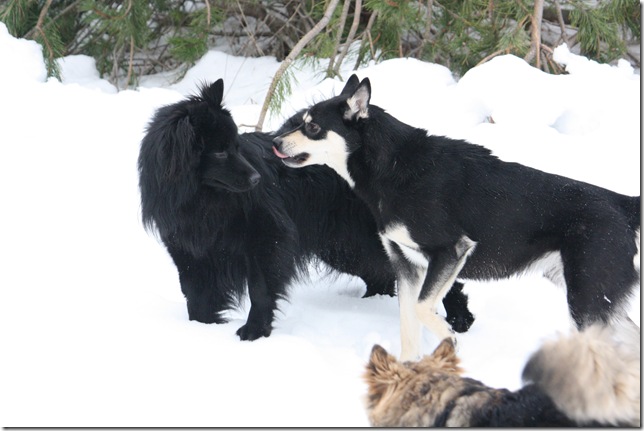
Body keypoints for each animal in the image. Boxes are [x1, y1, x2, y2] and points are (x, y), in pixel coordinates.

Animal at [138, 79, 476, 340]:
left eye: (236, 146)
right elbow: (196, 296)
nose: (257, 178)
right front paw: (203, 328)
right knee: (381, 277)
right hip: (344, 247)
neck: (202, 199)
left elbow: (260, 290)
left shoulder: (267, 239)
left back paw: (459, 320)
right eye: (220, 152)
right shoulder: (187, 252)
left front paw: (254, 331)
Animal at [274, 75, 640, 362]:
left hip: (586, 301)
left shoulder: (450, 251)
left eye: (312, 126)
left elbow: (423, 310)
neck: (392, 168)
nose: (275, 142)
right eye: (300, 121)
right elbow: (408, 326)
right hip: (594, 298)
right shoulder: (406, 266)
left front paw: (450, 342)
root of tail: (619, 204)